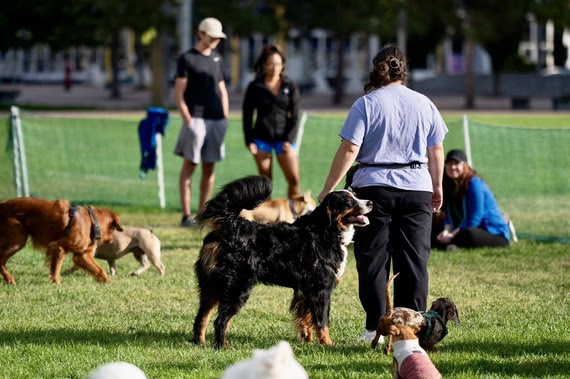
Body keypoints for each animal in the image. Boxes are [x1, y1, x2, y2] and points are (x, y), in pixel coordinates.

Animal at [191, 176, 370, 350]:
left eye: (356, 195)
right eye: (349, 202)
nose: (370, 202)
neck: (325, 231)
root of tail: (232, 226)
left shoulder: (306, 291)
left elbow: (307, 320)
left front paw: (308, 342)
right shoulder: (321, 289)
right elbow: (322, 322)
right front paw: (327, 345)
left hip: (212, 287)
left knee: (202, 317)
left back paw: (201, 343)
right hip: (237, 286)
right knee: (220, 320)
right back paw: (222, 347)